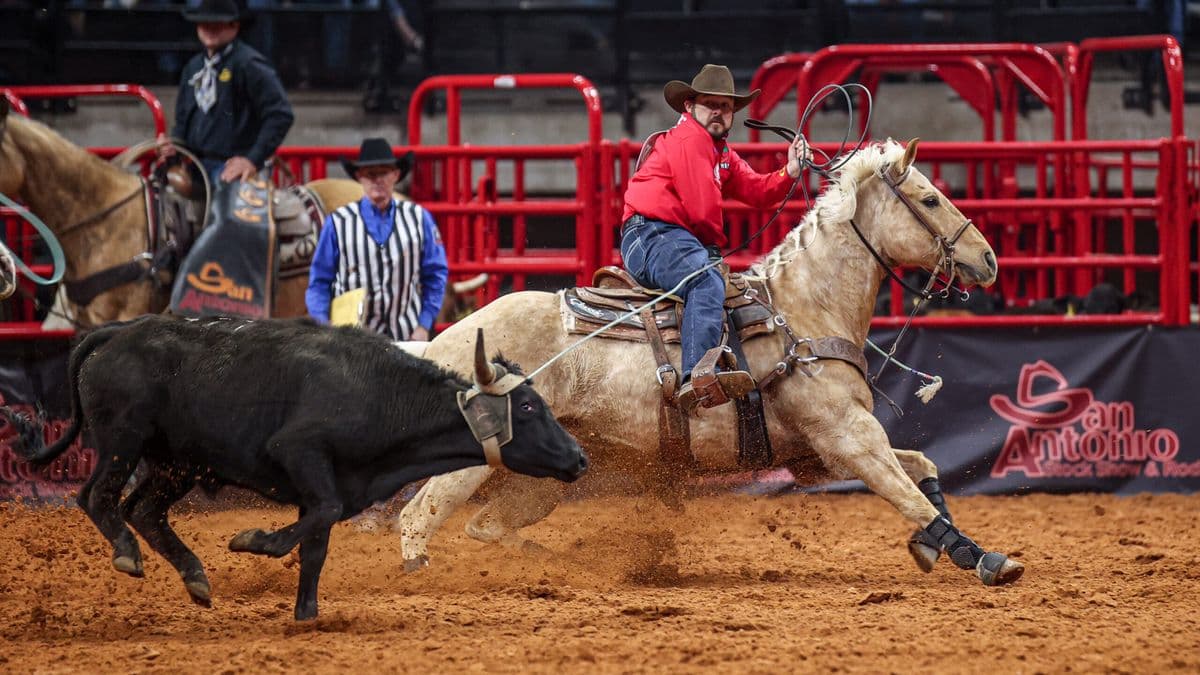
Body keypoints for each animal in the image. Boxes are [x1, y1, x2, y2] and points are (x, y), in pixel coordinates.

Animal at [395, 138, 1022, 587]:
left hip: (544, 474)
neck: (804, 308)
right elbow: (909, 493)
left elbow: (923, 469)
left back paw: (571, 569)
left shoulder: (821, 454)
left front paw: (932, 546)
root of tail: (442, 342)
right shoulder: (849, 437)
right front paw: (987, 560)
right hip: (474, 456)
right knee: (418, 518)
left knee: (486, 525)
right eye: (930, 198)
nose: (989, 258)